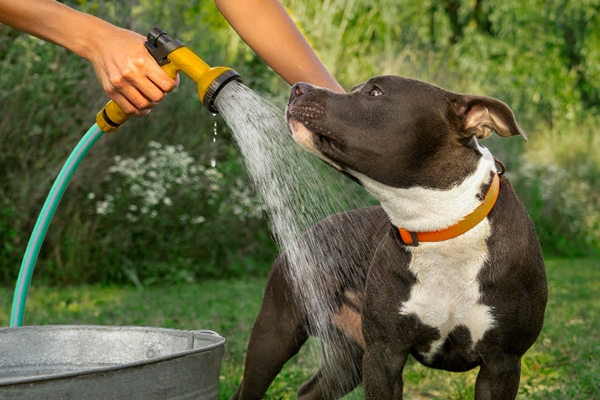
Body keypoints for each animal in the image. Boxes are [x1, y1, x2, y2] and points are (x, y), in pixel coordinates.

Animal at [231, 76, 548, 400]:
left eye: (375, 92)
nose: (298, 87)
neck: (441, 226)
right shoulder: (383, 354)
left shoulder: (502, 363)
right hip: (275, 333)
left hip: (348, 356)